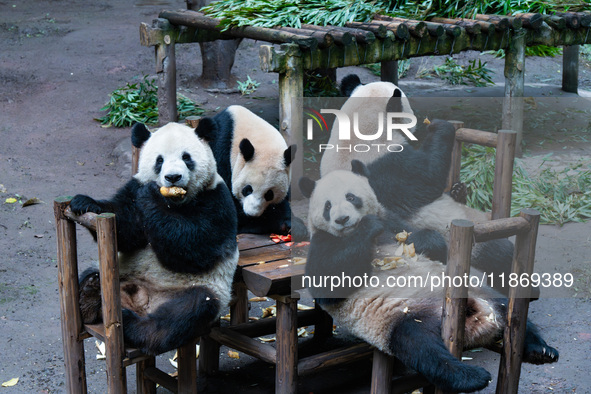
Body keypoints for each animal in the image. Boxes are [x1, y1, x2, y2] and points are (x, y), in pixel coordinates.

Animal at [71, 121, 240, 356]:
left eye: (186, 157)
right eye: (159, 160)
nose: (173, 177)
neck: (176, 202)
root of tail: (143, 302)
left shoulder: (216, 200)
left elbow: (197, 248)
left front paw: (152, 196)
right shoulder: (134, 189)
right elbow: (125, 230)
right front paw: (84, 202)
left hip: (204, 289)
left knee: (186, 312)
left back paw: (133, 325)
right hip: (121, 276)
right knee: (90, 272)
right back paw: (88, 296)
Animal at [300, 167, 560, 394]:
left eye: (351, 197)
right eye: (327, 206)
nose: (342, 219)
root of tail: (476, 324)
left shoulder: (394, 220)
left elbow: (430, 244)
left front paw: (417, 242)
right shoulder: (323, 242)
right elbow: (327, 284)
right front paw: (368, 226)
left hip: (483, 294)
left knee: (512, 315)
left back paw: (541, 350)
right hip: (401, 319)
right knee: (423, 349)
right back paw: (472, 377)